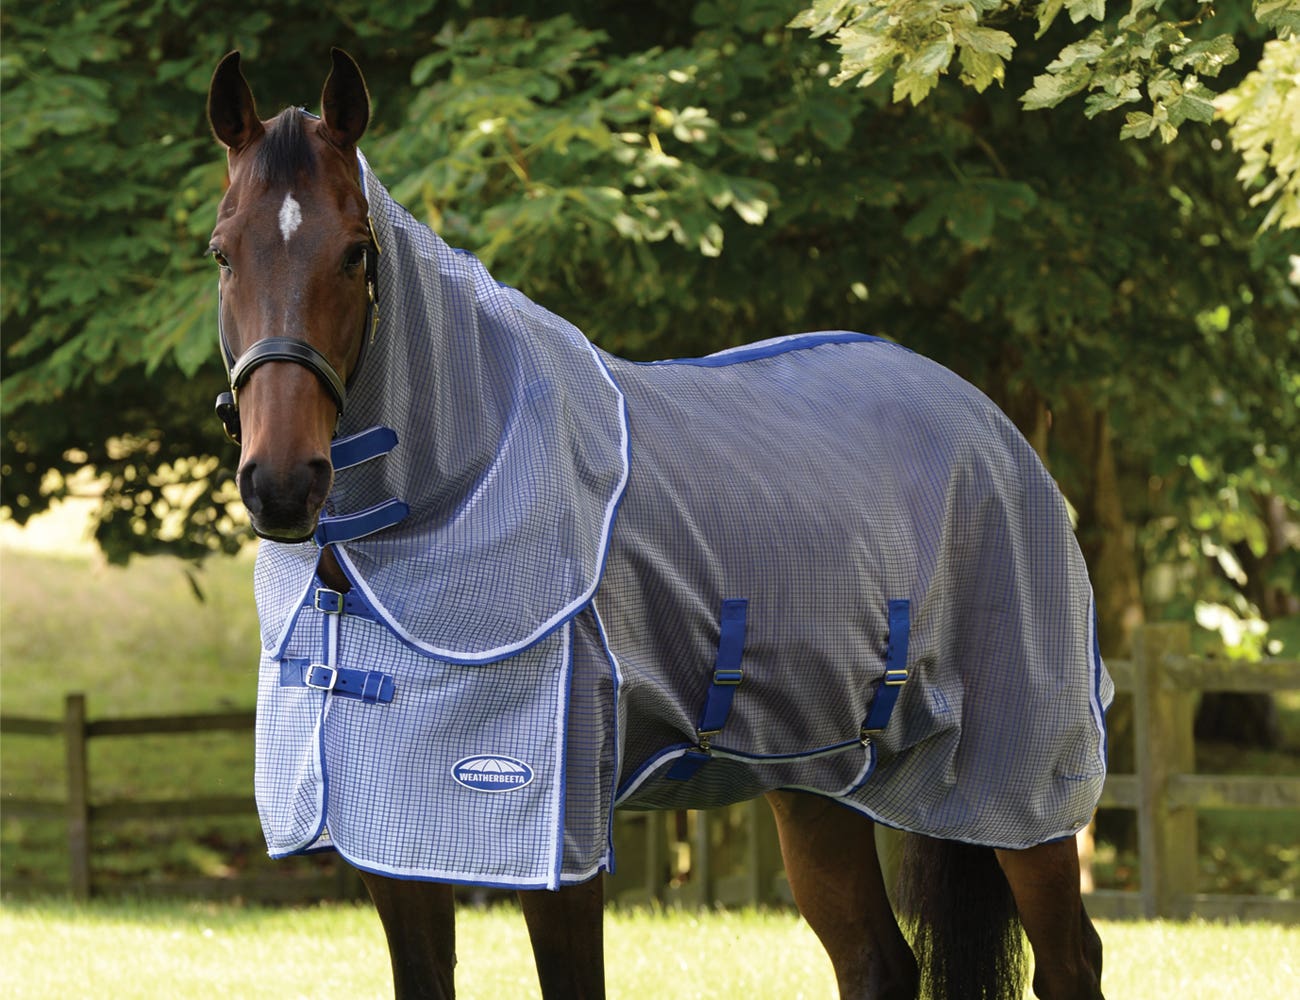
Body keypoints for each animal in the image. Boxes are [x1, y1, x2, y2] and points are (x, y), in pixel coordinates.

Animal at [202, 48, 1107, 998]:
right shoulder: (394, 842)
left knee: (1068, 958)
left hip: (1020, 784)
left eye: (354, 252)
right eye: (223, 253)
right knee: (877, 962)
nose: (283, 485)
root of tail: (996, 428)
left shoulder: (558, 840)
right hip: (817, 784)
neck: (456, 490)